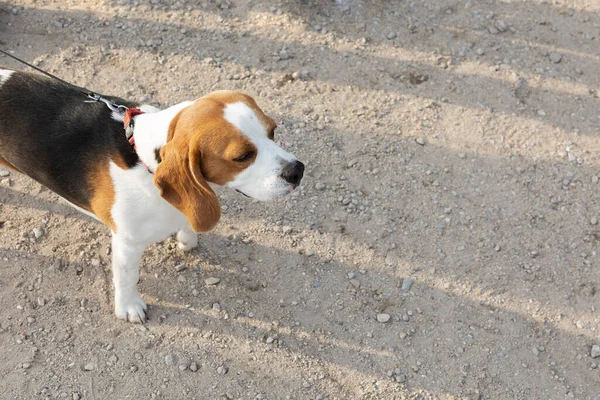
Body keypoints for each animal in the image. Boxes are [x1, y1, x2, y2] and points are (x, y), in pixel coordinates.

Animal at [0, 68, 304, 322]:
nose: (298, 171)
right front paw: (129, 308)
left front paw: (187, 238)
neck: (142, 156)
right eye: (242, 157)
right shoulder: (127, 243)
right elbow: (127, 277)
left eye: (273, 131)